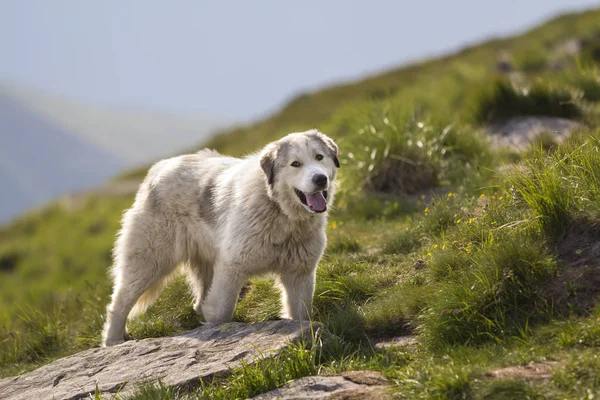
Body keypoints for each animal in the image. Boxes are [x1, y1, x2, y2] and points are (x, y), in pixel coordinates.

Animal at [101, 130, 340, 346]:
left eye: (319, 157)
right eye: (295, 164)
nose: (320, 179)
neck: (279, 210)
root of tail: (159, 168)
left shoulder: (300, 273)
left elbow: (301, 314)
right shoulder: (232, 267)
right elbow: (222, 313)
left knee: (199, 302)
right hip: (150, 261)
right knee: (120, 303)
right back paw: (113, 341)